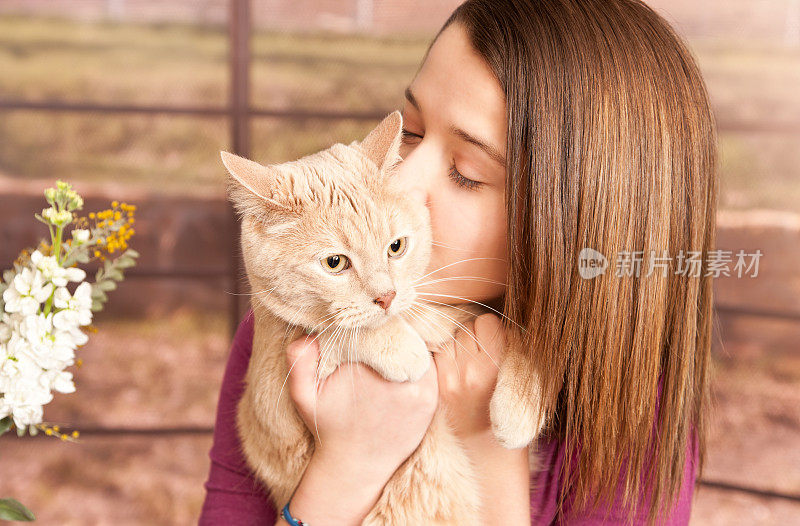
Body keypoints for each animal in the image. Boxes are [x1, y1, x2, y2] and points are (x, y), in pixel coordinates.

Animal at [219, 109, 544, 524]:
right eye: (334, 263)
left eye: (396, 247)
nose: (387, 297)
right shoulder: (272, 391)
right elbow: (341, 331)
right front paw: (403, 349)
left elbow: (523, 343)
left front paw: (520, 408)